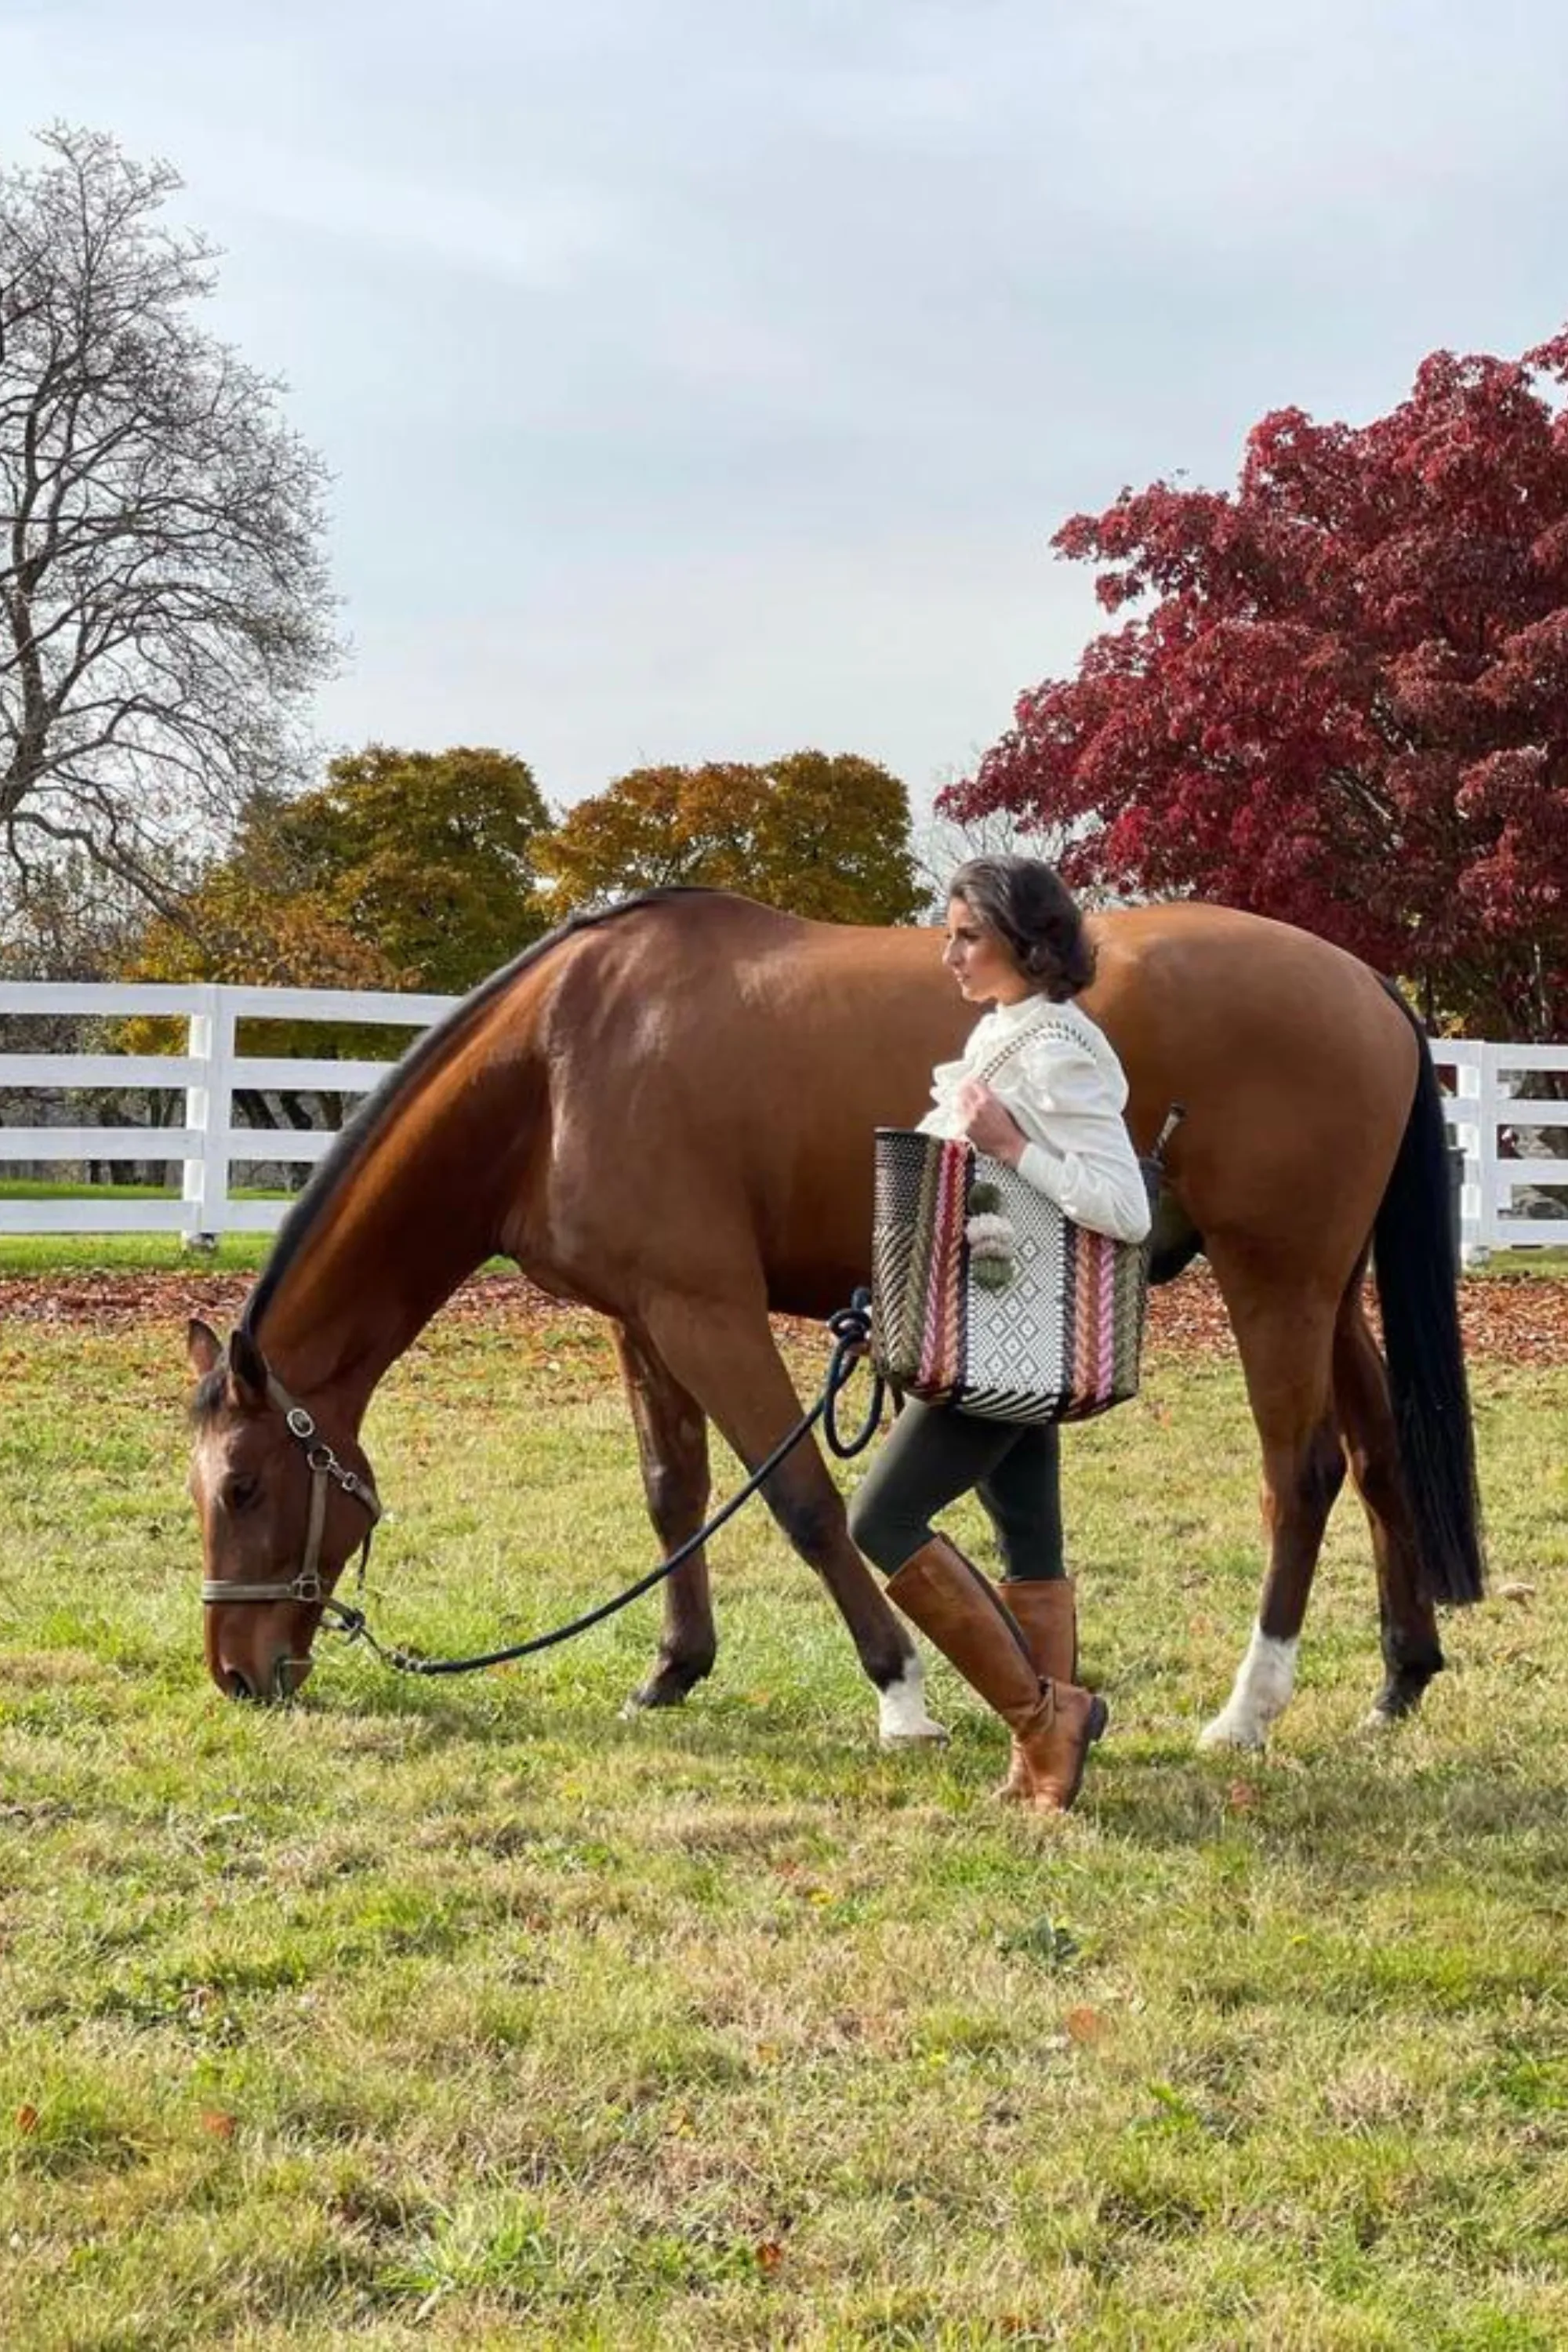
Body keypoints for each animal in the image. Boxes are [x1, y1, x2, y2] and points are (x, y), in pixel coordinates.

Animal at [184, 884, 1486, 1750]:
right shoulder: (641, 1318)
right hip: (1329, 1291)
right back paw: (1401, 1678)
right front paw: (673, 1670)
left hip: (1279, 1281)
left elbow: (802, 1496)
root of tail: (1371, 987)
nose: (238, 1675)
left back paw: (1247, 1711)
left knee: (1301, 1473)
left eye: (243, 1488)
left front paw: (900, 1691)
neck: (558, 1064)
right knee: (1380, 1459)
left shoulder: (708, 1309)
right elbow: (675, 1495)